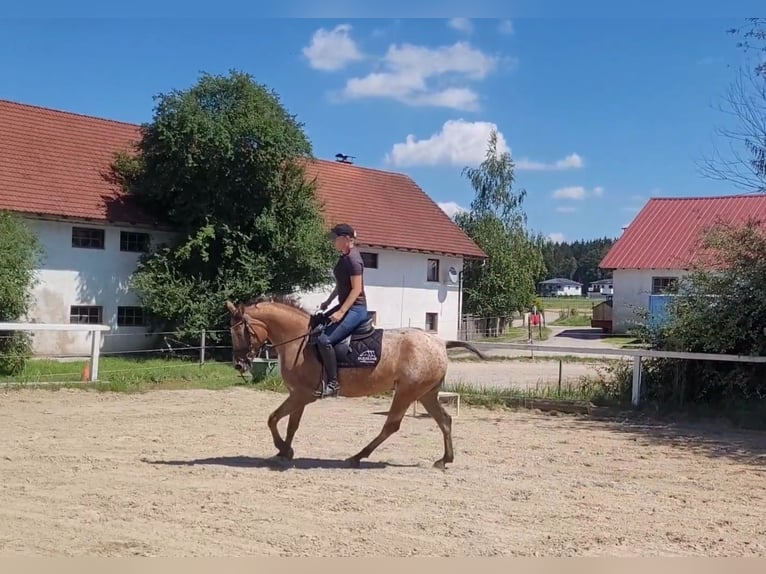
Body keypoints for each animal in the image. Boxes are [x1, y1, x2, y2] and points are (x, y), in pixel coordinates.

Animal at [225, 296, 488, 472]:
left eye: (241, 332)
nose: (238, 364)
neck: (299, 340)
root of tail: (441, 343)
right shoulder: (298, 395)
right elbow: (290, 425)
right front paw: (284, 451)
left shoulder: (302, 395)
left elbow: (273, 419)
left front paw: (282, 449)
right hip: (425, 393)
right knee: (444, 421)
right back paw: (444, 460)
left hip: (406, 392)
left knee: (391, 426)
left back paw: (358, 456)